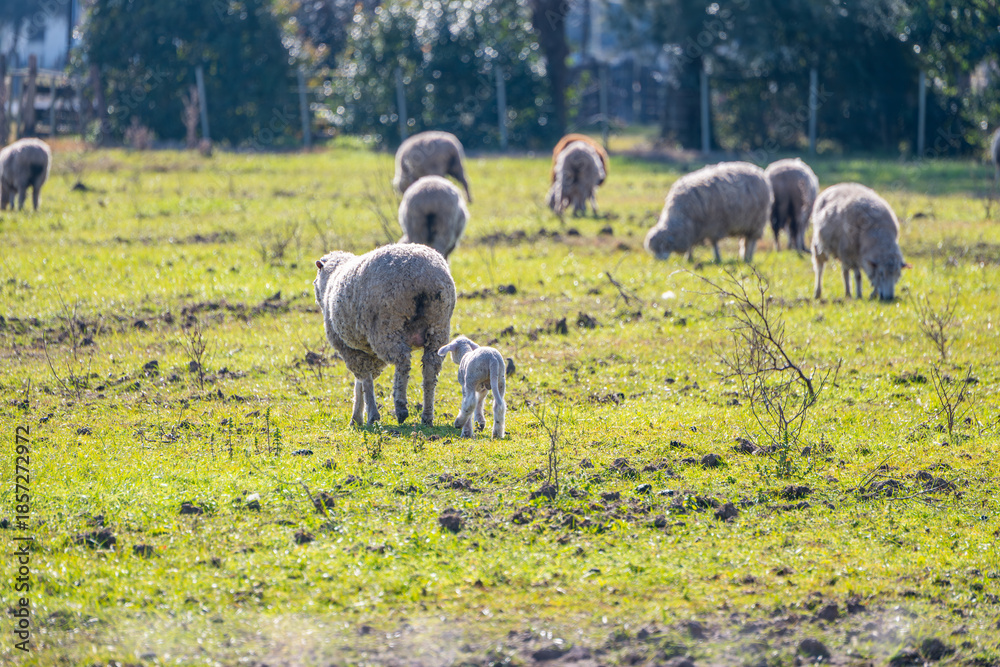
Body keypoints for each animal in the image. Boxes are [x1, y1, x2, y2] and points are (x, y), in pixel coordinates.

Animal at [313, 244, 457, 427]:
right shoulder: (367, 352)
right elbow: (361, 383)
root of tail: (425, 275)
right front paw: (358, 416)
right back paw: (427, 415)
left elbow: (365, 380)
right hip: (438, 326)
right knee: (431, 369)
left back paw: (401, 407)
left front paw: (370, 415)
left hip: (387, 327)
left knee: (403, 361)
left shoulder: (349, 349)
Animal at [644, 161, 773, 263]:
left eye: (662, 246)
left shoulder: (713, 225)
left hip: (757, 221)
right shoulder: (693, 228)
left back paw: (748, 258)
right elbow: (691, 245)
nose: (659, 261)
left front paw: (717, 258)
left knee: (752, 241)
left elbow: (714, 243)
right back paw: (744, 257)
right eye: (654, 249)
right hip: (746, 223)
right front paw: (689, 258)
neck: (682, 215)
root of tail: (756, 170)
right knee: (745, 241)